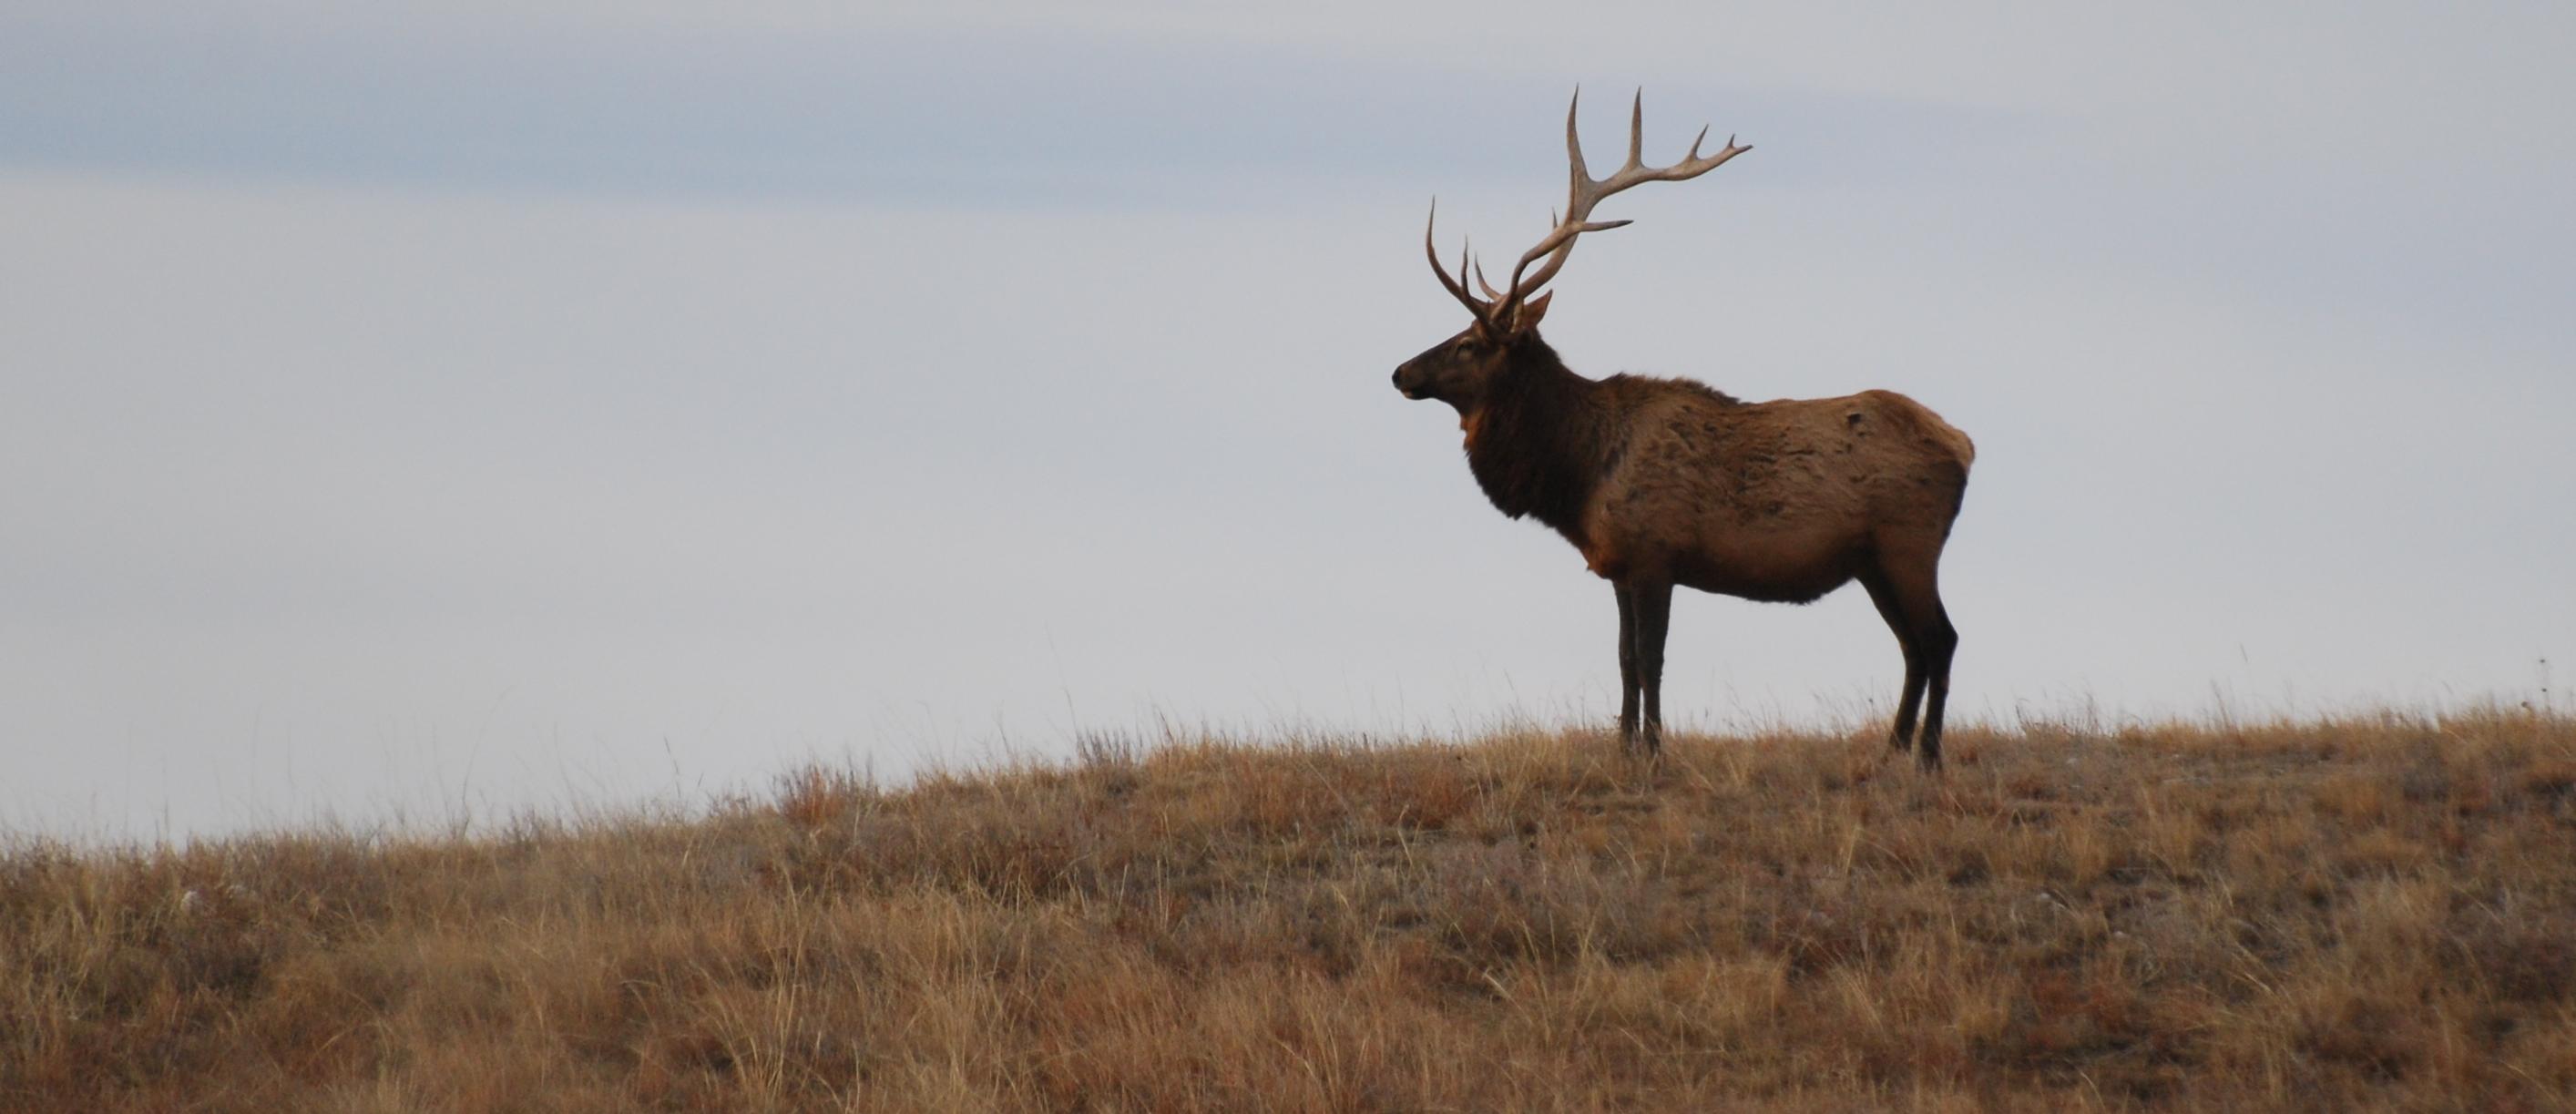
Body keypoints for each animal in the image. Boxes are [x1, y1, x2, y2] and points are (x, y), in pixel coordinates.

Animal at [1391, 91, 1975, 769]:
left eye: (1467, 343)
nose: (1400, 372)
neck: (1580, 474)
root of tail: (1964, 445)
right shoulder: (1617, 563)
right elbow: (1623, 659)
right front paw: (1623, 746)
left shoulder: (1656, 553)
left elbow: (1652, 659)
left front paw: (1653, 749)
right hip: (1873, 562)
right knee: (1912, 645)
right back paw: (1891, 749)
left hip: (1909, 543)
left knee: (1941, 639)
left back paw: (1928, 755)